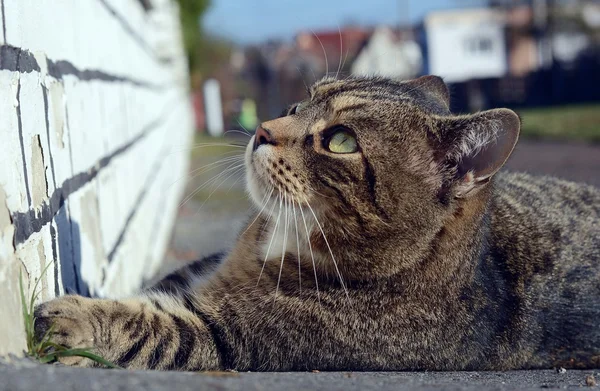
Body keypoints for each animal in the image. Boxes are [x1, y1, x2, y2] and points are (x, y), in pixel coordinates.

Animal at [34, 76, 600, 370]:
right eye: (296, 103)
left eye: (341, 140)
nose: (262, 129)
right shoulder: (209, 266)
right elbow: (163, 284)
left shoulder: (231, 335)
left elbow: (149, 324)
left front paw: (70, 318)